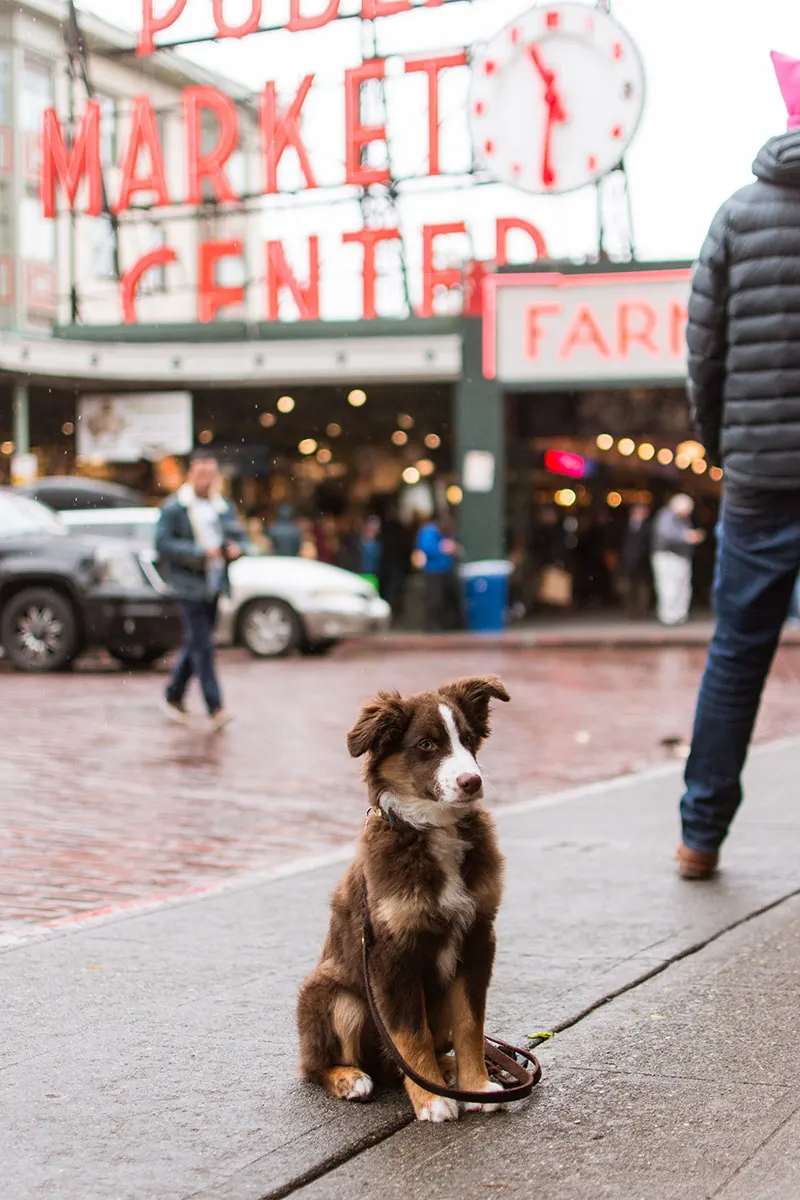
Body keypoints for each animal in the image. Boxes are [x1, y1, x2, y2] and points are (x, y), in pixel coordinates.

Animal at [297, 676, 510, 1123]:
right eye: (426, 744)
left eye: (468, 740)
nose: (472, 782)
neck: (434, 828)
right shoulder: (390, 954)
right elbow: (410, 1033)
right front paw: (430, 1099)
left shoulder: (478, 938)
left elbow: (471, 1025)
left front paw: (477, 1086)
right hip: (337, 996)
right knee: (316, 1066)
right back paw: (349, 1078)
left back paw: (447, 1068)